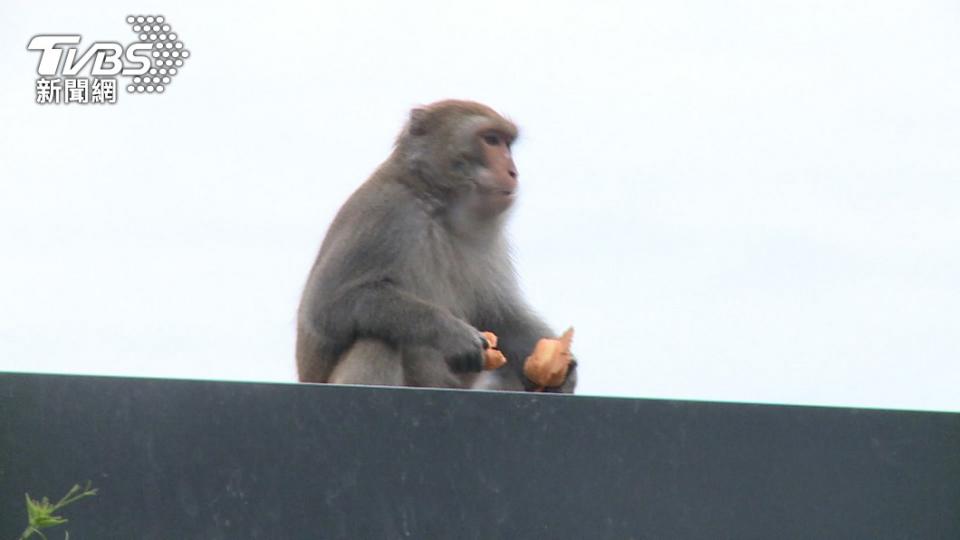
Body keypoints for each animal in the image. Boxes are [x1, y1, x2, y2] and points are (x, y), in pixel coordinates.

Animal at [296, 100, 572, 392]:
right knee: (376, 339)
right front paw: (451, 332)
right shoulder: (386, 209)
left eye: (507, 144)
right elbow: (327, 303)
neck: (438, 204)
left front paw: (561, 367)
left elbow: (498, 316)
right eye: (491, 140)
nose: (512, 172)